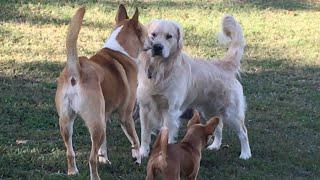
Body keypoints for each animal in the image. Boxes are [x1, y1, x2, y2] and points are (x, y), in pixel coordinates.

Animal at [54, 4, 149, 179]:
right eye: (147, 33)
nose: (154, 43)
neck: (119, 50)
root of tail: (76, 70)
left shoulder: (104, 115)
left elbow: (103, 146)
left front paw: (104, 159)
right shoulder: (125, 115)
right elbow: (135, 140)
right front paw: (137, 159)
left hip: (67, 122)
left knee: (70, 152)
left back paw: (73, 171)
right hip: (96, 125)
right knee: (91, 159)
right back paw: (95, 176)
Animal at [138, 14, 252, 160]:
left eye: (169, 36)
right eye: (153, 34)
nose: (157, 47)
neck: (161, 70)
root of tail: (224, 64)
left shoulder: (171, 111)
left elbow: (166, 135)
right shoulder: (144, 108)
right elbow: (144, 134)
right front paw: (142, 152)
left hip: (232, 111)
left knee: (243, 132)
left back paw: (245, 154)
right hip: (209, 109)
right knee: (218, 126)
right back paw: (215, 146)